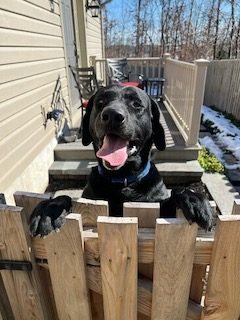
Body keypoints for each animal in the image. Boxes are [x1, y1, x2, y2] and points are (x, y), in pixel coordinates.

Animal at [29, 84, 214, 236]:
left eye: (136, 104)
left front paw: (195, 200)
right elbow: (66, 197)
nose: (112, 115)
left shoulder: (157, 204)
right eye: (101, 101)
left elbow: (177, 192)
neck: (123, 180)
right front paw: (49, 210)